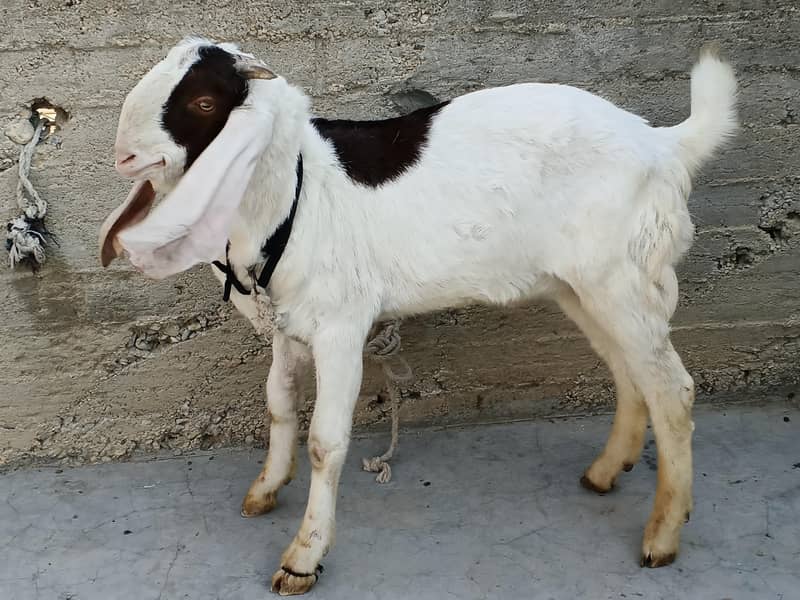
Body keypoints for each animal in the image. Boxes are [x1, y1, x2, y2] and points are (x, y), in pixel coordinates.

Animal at [99, 37, 737, 595]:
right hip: (585, 287)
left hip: (621, 278)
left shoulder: (340, 326)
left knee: (673, 390)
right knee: (632, 374)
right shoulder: (287, 322)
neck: (293, 191)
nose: (124, 157)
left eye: (205, 103)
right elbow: (279, 403)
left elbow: (325, 440)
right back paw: (606, 472)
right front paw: (265, 489)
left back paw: (662, 536)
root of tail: (665, 145)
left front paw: (303, 557)